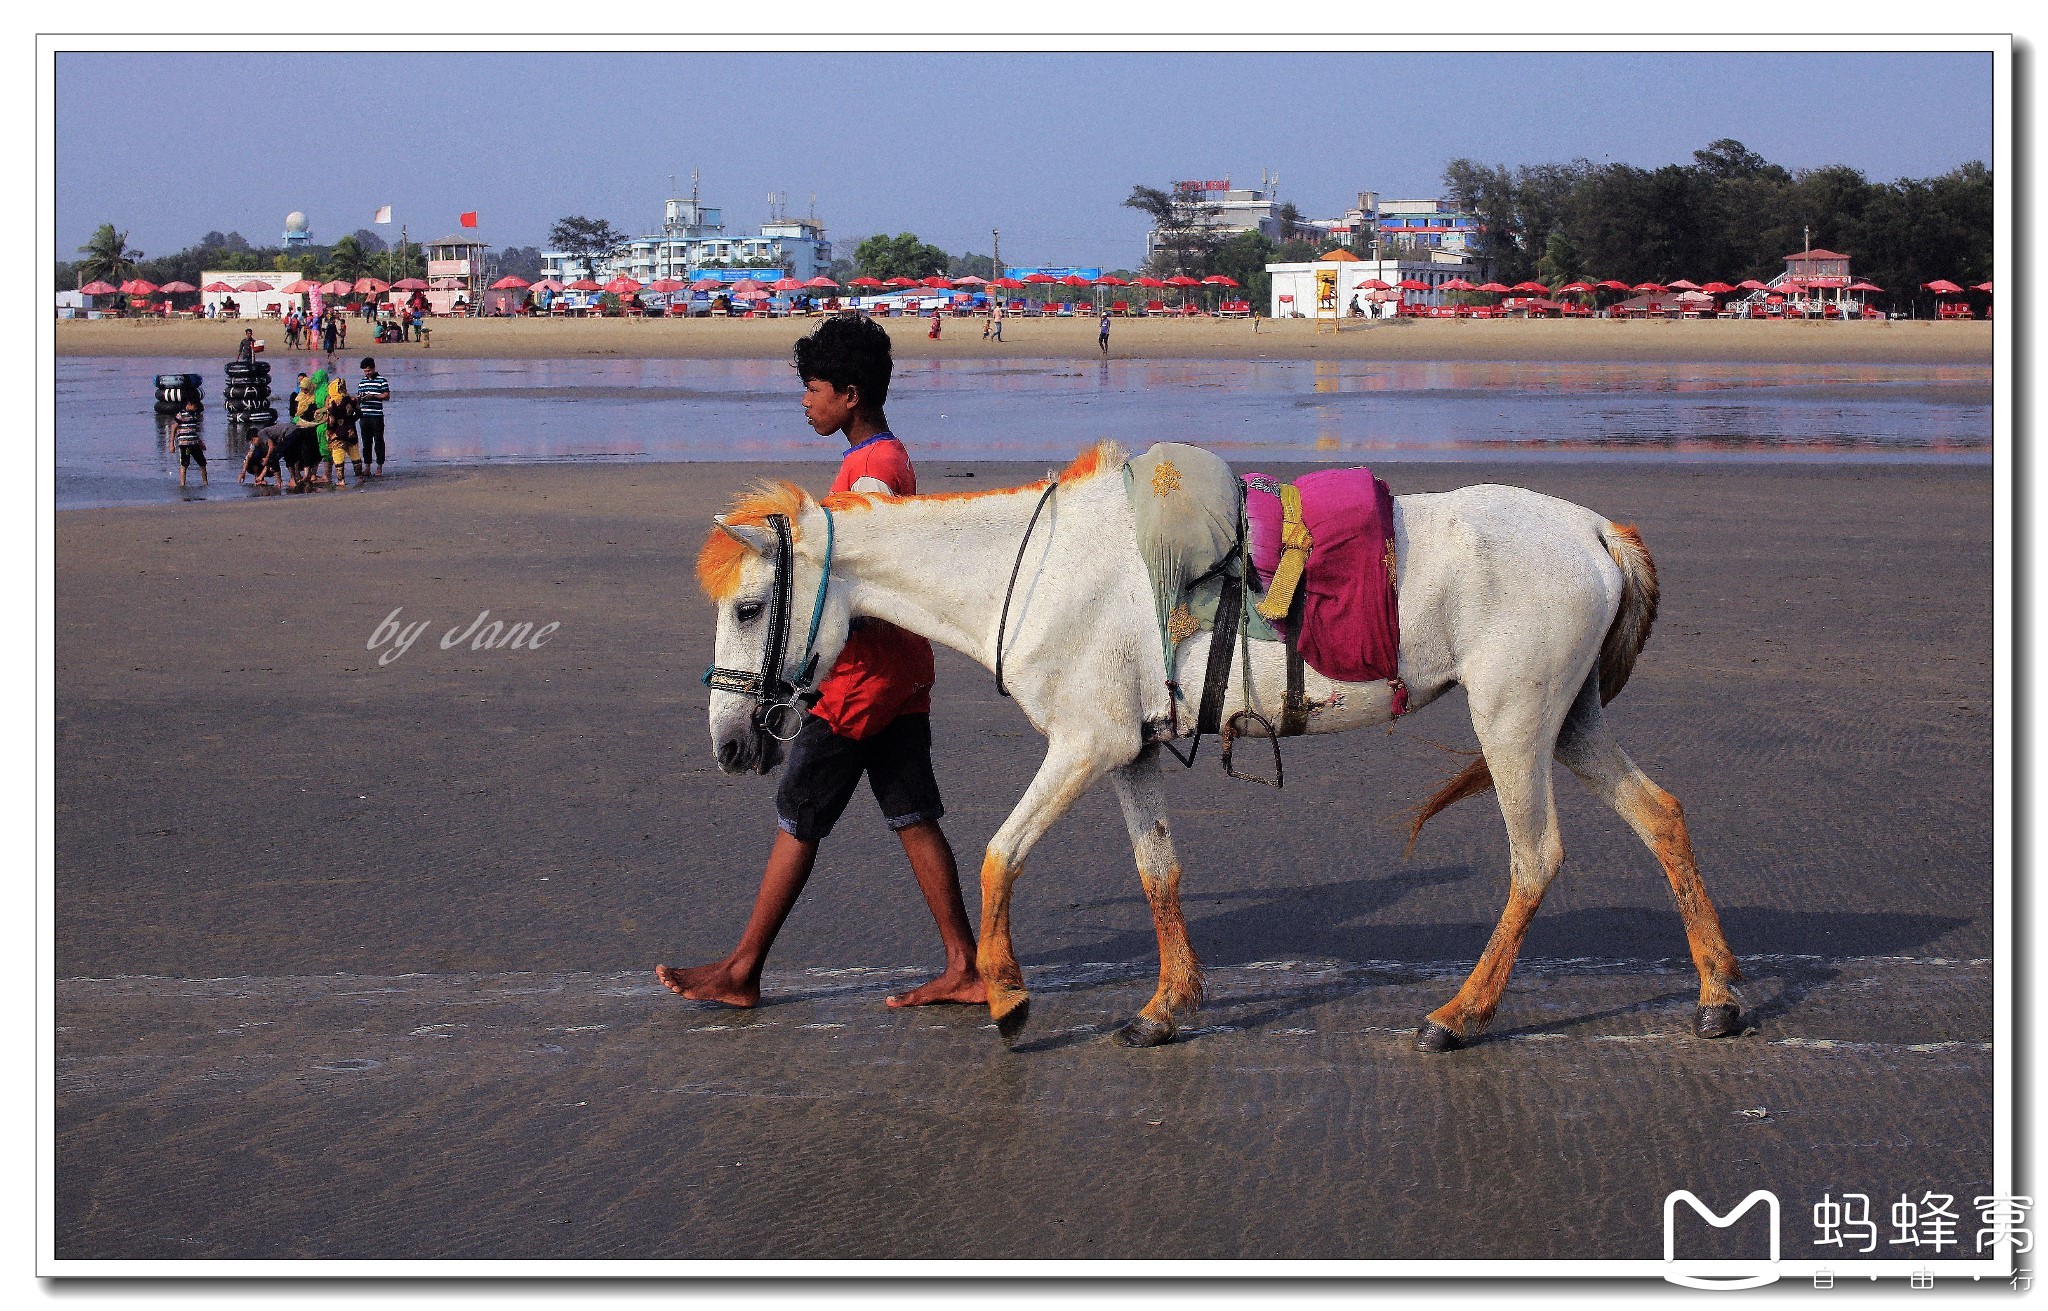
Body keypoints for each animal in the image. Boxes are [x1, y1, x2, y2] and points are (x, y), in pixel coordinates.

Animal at [696, 446, 1736, 1048]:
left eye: (748, 608)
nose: (732, 746)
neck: (1033, 570)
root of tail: (1597, 529)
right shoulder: (1130, 750)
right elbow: (1159, 872)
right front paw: (1168, 1007)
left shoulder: (1083, 742)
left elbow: (997, 856)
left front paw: (1006, 998)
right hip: (1569, 719)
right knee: (1663, 816)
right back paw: (1719, 994)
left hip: (1514, 720)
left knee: (1535, 857)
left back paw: (1462, 1014)